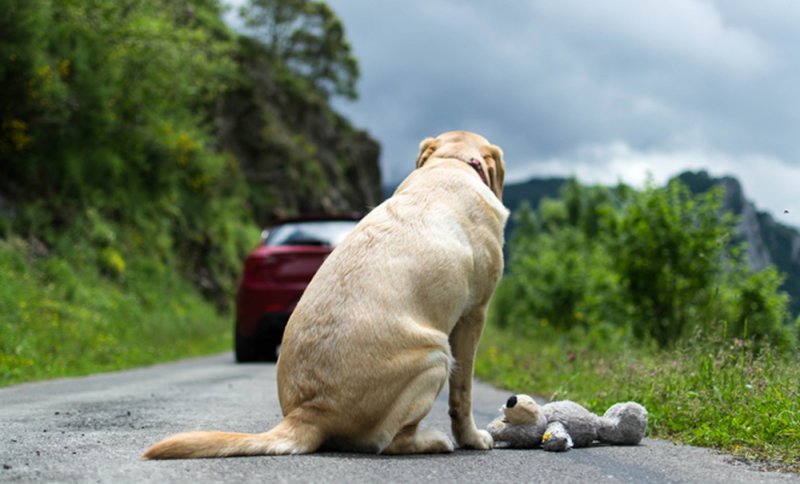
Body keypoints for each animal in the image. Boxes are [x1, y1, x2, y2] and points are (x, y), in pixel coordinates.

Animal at [143, 130, 506, 460]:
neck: (450, 162)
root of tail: (310, 412)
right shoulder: (474, 315)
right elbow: (463, 393)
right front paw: (472, 438)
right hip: (436, 355)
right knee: (390, 442)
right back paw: (434, 441)